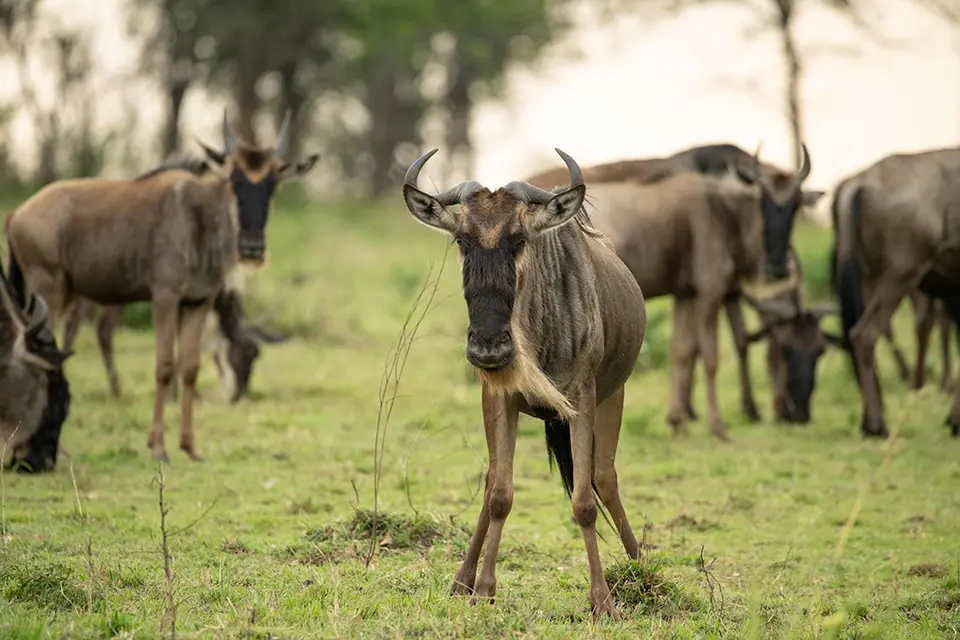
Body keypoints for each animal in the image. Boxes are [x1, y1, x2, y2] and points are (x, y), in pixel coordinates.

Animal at [4, 109, 318, 461]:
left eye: (273, 182)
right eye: (234, 180)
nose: (252, 247)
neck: (200, 221)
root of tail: (17, 213)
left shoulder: (198, 302)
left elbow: (191, 367)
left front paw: (190, 446)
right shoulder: (165, 298)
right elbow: (165, 366)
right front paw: (158, 446)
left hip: (66, 293)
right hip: (51, 291)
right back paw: (57, 447)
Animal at [402, 148, 645, 619]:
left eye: (519, 240)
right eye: (461, 241)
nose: (488, 347)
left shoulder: (583, 398)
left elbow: (584, 502)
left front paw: (603, 600)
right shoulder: (500, 398)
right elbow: (499, 493)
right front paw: (483, 589)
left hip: (615, 395)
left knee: (605, 478)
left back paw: (641, 565)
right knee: (492, 481)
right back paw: (461, 580)